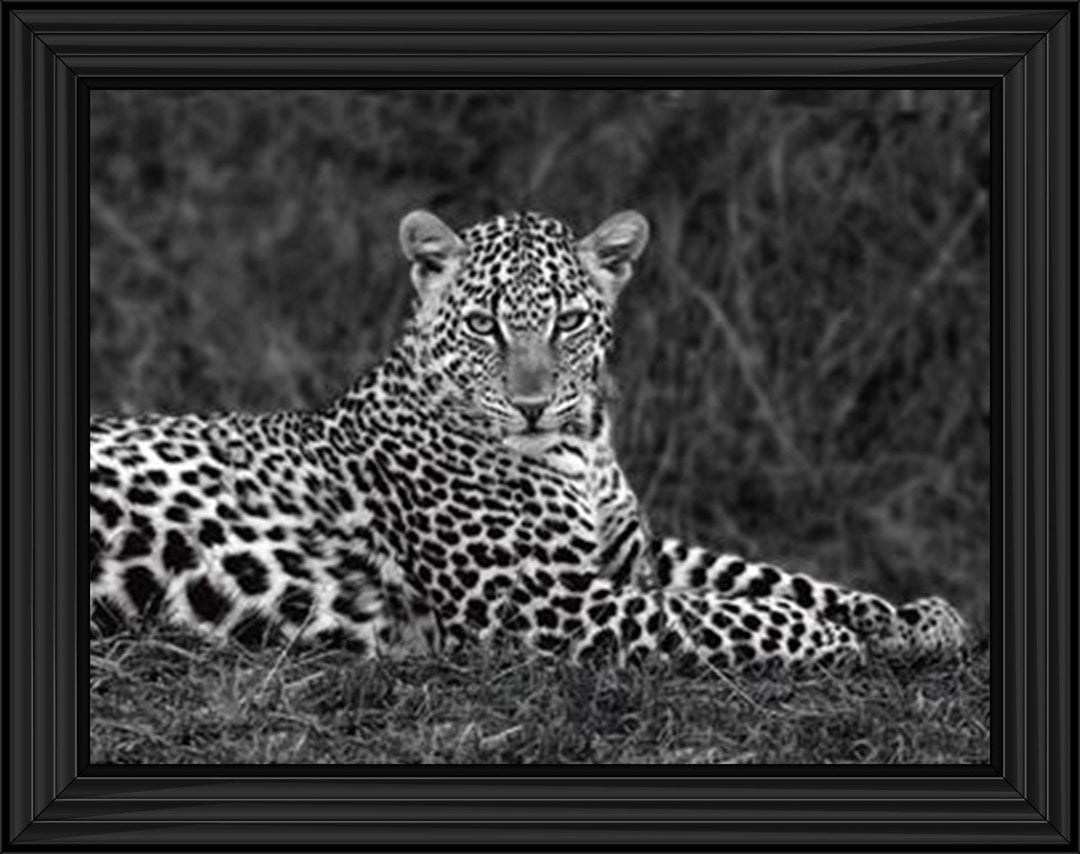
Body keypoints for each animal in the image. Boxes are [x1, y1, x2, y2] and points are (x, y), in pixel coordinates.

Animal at [90, 209, 970, 674]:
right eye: (485, 325)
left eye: (568, 321)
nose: (534, 405)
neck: (584, 446)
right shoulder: (538, 600)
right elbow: (717, 616)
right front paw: (836, 637)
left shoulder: (630, 554)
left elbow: (760, 575)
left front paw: (912, 617)